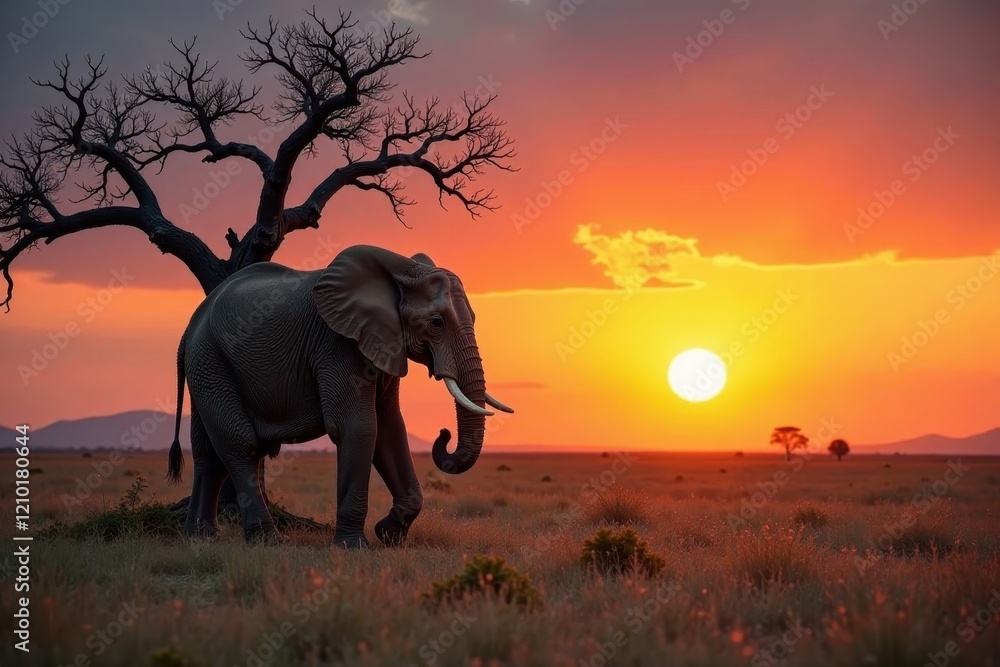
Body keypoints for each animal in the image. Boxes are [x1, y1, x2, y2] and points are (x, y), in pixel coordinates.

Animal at [165, 245, 513, 547]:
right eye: (436, 323)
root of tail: (188, 328)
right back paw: (268, 539)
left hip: (207, 366)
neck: (401, 269)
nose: (443, 433)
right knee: (240, 443)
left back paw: (201, 537)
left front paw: (389, 535)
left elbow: (389, 428)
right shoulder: (337, 343)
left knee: (208, 452)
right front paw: (354, 547)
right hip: (211, 360)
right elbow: (359, 427)